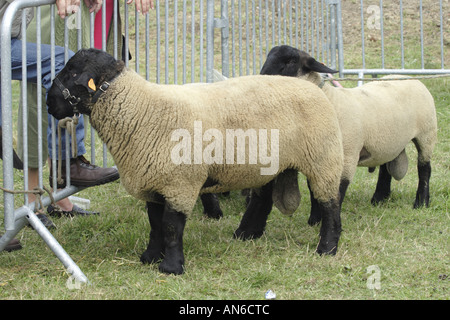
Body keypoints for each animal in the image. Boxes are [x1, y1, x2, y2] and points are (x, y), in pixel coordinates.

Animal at [46, 47, 344, 276]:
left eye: (73, 73)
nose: (49, 103)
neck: (141, 108)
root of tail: (309, 84)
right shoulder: (155, 182)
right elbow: (155, 224)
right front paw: (150, 257)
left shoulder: (180, 183)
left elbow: (171, 226)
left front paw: (171, 267)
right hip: (273, 163)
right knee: (263, 198)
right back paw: (247, 233)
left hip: (323, 158)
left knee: (330, 204)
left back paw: (327, 248)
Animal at [258, 45, 438, 226]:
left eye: (290, 61)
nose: (261, 79)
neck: (332, 101)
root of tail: (410, 78)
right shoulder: (319, 157)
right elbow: (314, 189)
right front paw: (314, 220)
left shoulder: (348, 156)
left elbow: (338, 189)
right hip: (388, 140)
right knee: (385, 167)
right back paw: (379, 198)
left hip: (427, 133)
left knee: (424, 168)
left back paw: (421, 202)